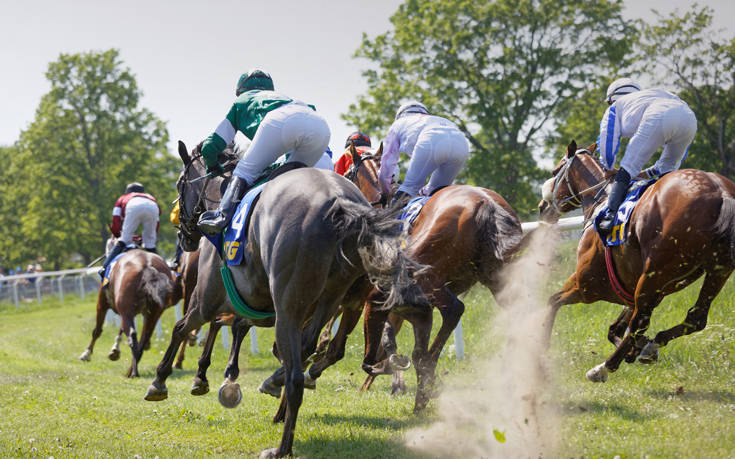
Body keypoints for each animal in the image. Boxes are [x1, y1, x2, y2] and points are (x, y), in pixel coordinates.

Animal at [79, 250, 181, 380]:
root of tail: (148, 266)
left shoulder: (103, 305)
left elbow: (97, 331)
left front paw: (86, 354)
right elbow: (121, 329)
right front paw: (115, 350)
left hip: (126, 310)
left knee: (132, 337)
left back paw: (133, 372)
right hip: (153, 314)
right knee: (143, 340)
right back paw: (131, 369)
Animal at [142, 143, 426, 456]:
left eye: (180, 184)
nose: (184, 236)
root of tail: (340, 204)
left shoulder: (208, 299)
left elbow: (181, 328)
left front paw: (161, 381)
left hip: (289, 306)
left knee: (295, 377)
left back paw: (281, 447)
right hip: (330, 297)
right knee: (305, 348)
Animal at [536, 141, 735, 384]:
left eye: (555, 171)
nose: (542, 207)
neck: (600, 201)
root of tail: (722, 193)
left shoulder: (585, 286)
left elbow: (553, 301)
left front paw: (541, 350)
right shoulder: (635, 292)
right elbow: (615, 329)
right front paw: (637, 349)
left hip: (654, 273)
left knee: (641, 322)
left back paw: (603, 368)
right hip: (718, 270)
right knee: (695, 318)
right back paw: (651, 346)